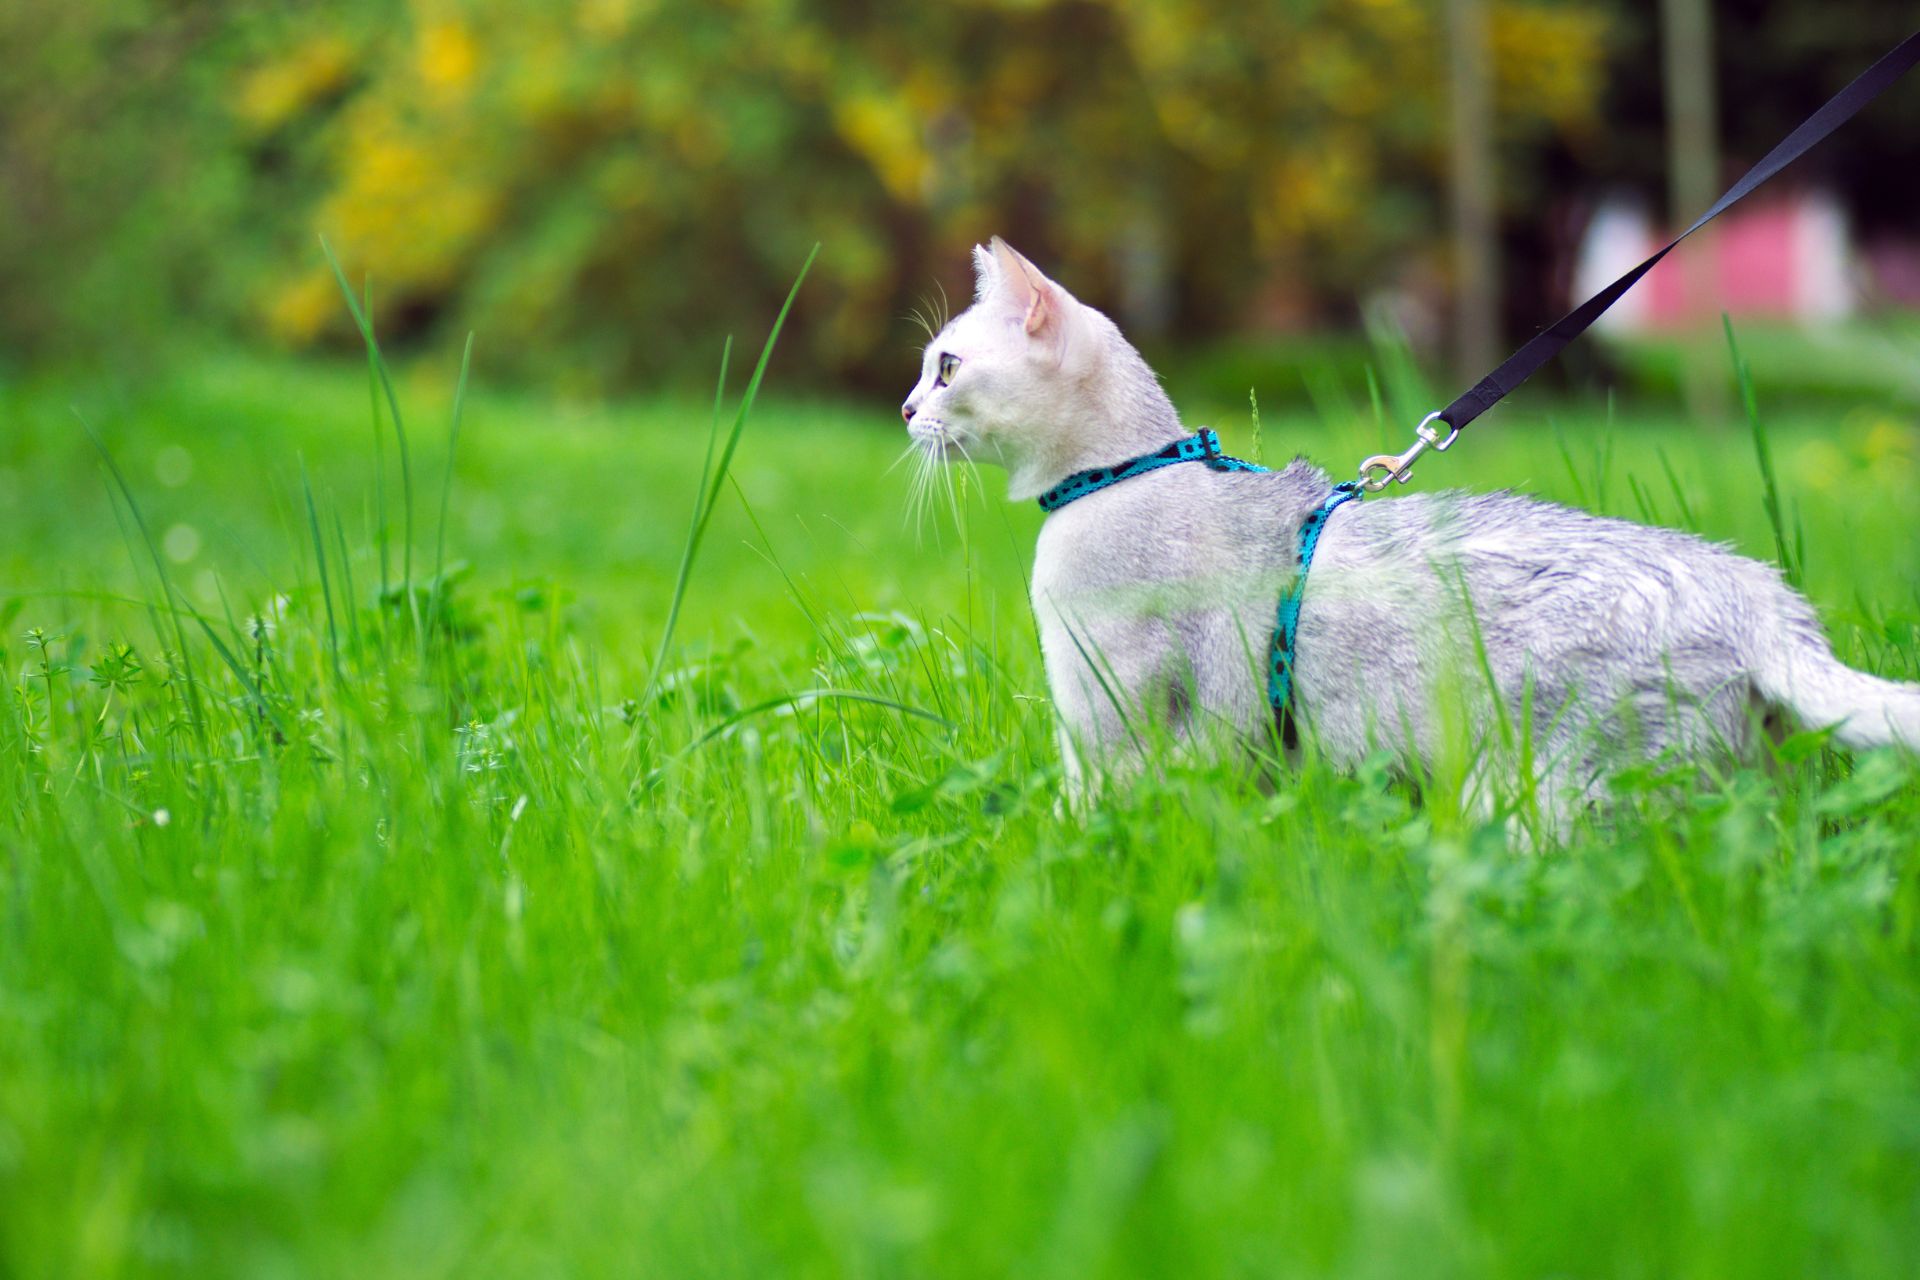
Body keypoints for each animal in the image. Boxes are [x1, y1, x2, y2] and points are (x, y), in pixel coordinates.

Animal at [898, 238, 1920, 832]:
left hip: (1540, 791)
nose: (907, 407)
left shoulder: (1111, 731)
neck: (1125, 477)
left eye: (947, 367)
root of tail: (1761, 596)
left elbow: (1082, 821)